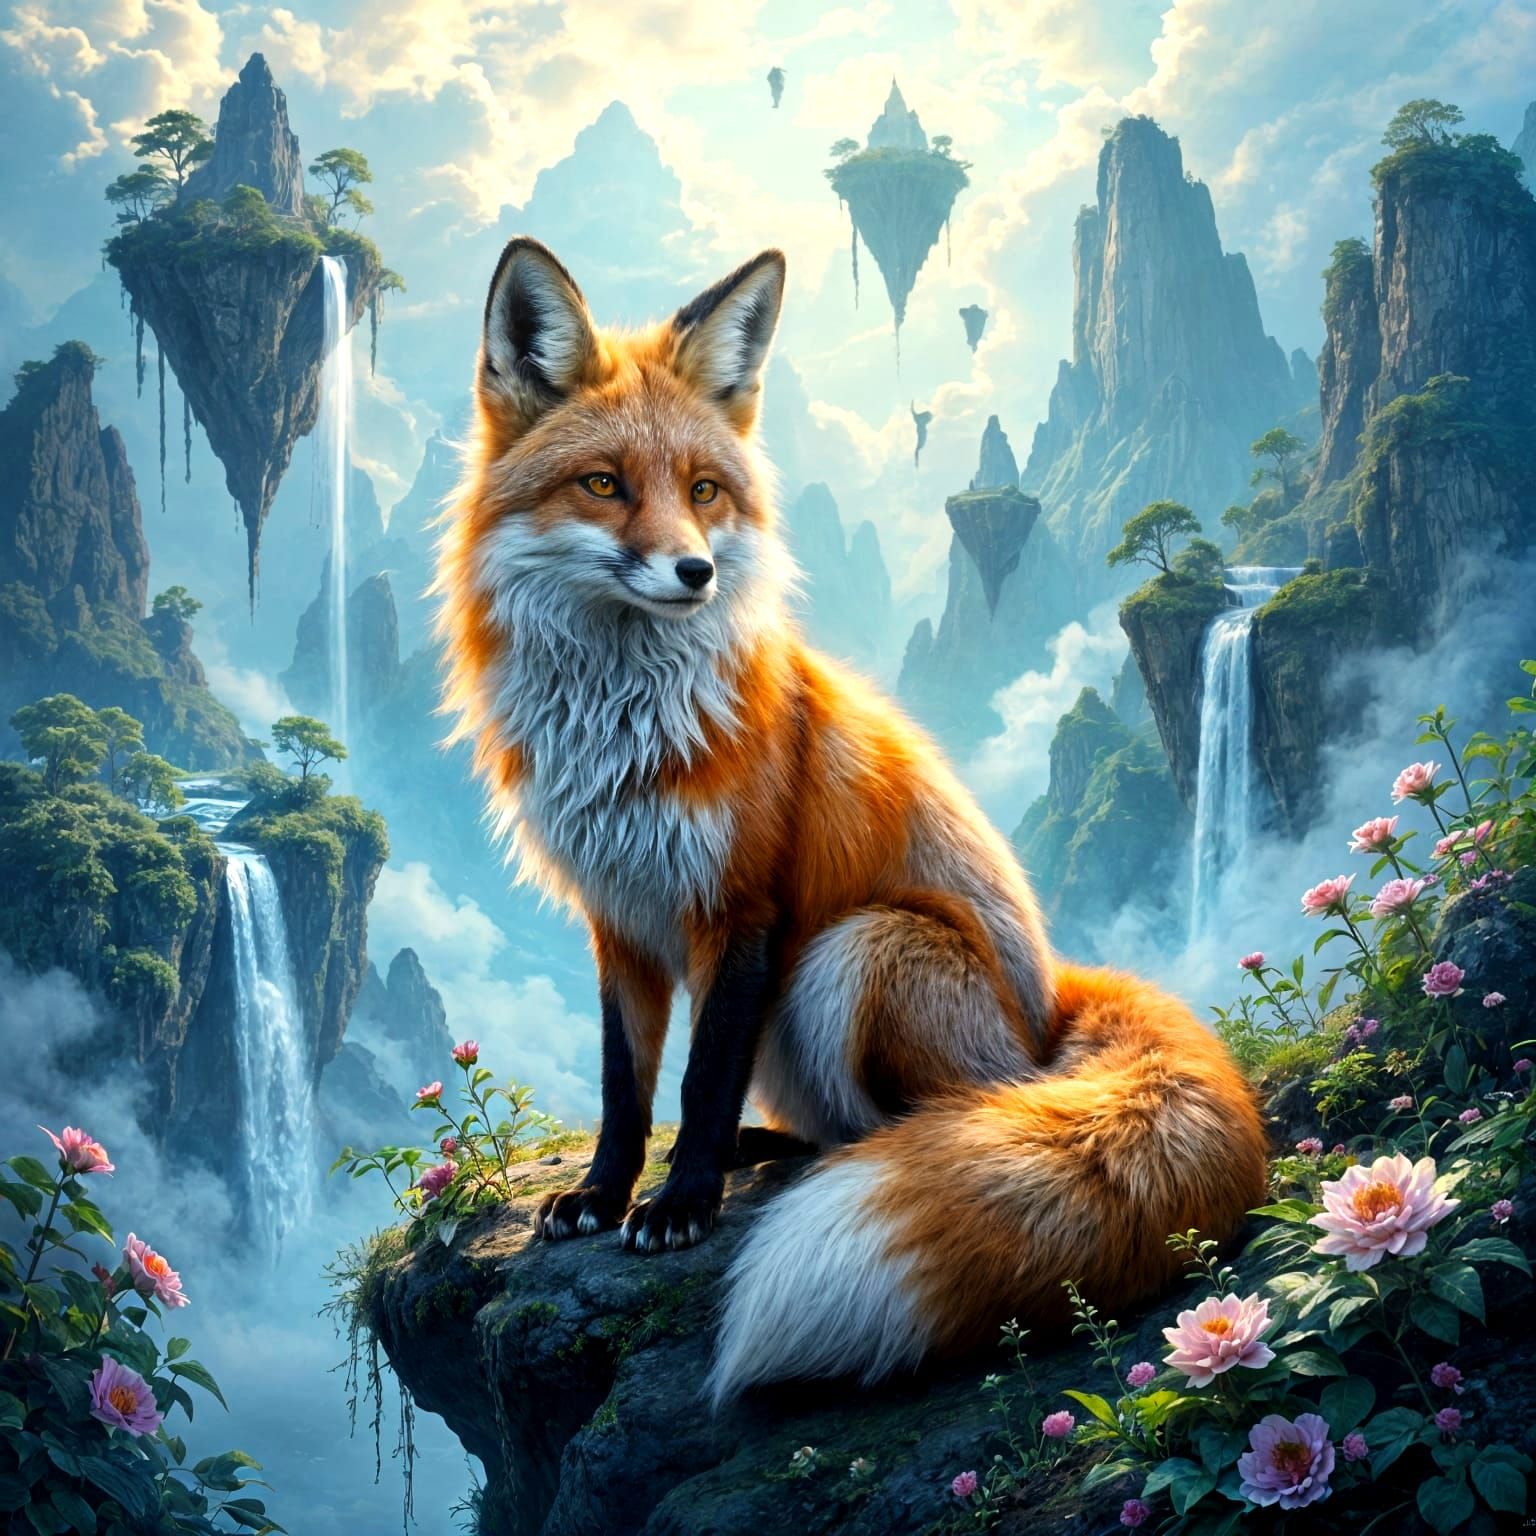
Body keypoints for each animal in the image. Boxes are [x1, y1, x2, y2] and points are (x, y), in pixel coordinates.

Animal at [433, 236, 1269, 1406]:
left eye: (703, 491)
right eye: (603, 485)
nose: (694, 571)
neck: (625, 726)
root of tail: (1053, 1005)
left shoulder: (744, 906)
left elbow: (699, 1077)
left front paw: (679, 1205)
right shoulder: (619, 918)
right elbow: (623, 1084)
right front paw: (603, 1195)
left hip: (857, 950)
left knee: (920, 1125)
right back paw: (765, 1153)